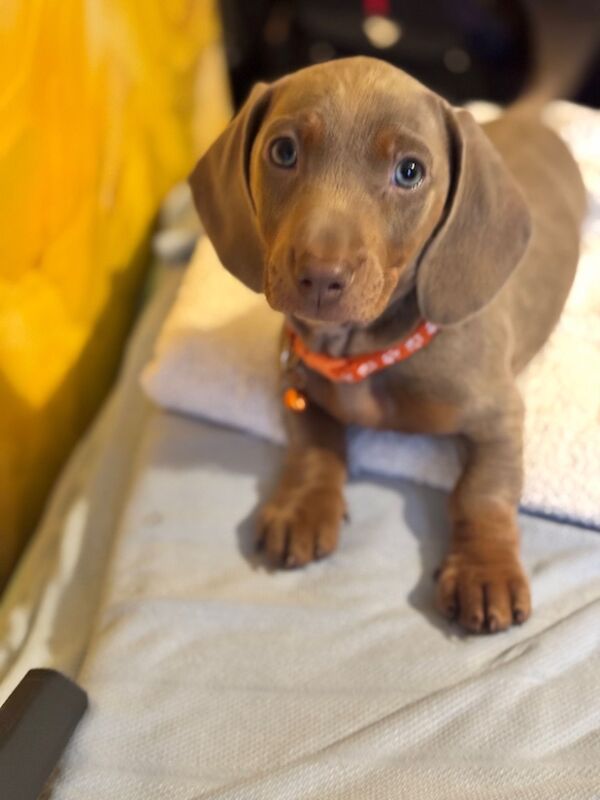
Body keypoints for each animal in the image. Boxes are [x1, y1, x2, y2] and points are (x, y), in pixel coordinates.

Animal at [192, 56, 584, 636]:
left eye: (410, 171)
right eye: (283, 151)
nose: (320, 276)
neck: (362, 351)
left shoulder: (499, 413)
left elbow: (483, 490)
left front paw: (484, 569)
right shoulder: (297, 385)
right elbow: (315, 445)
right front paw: (304, 505)